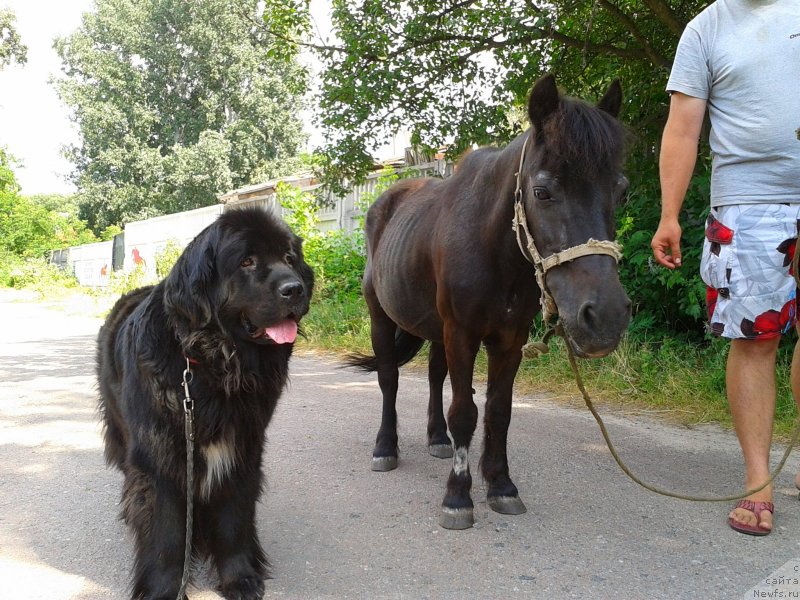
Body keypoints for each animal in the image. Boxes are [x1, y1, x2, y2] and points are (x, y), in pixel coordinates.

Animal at [96, 207, 312, 600]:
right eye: (246, 261)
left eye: (290, 259)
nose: (295, 289)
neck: (214, 368)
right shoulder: (159, 459)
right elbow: (165, 533)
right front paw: (163, 589)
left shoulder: (241, 449)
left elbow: (233, 520)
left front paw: (240, 579)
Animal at [350, 75, 632, 528]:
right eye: (542, 191)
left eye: (620, 191)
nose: (605, 317)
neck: (492, 247)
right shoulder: (462, 333)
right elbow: (465, 411)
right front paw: (457, 497)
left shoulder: (509, 340)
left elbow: (499, 410)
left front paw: (500, 485)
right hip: (382, 318)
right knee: (389, 378)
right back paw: (385, 448)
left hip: (436, 330)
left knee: (434, 377)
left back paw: (437, 439)